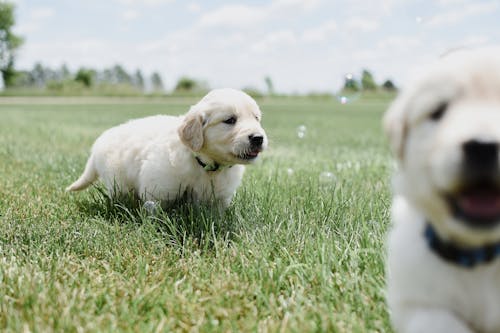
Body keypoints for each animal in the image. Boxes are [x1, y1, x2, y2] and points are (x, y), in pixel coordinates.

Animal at [69, 88, 270, 208]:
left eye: (256, 118)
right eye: (230, 120)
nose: (258, 138)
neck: (204, 165)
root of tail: (97, 146)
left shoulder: (221, 197)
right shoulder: (158, 187)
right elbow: (155, 209)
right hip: (116, 179)